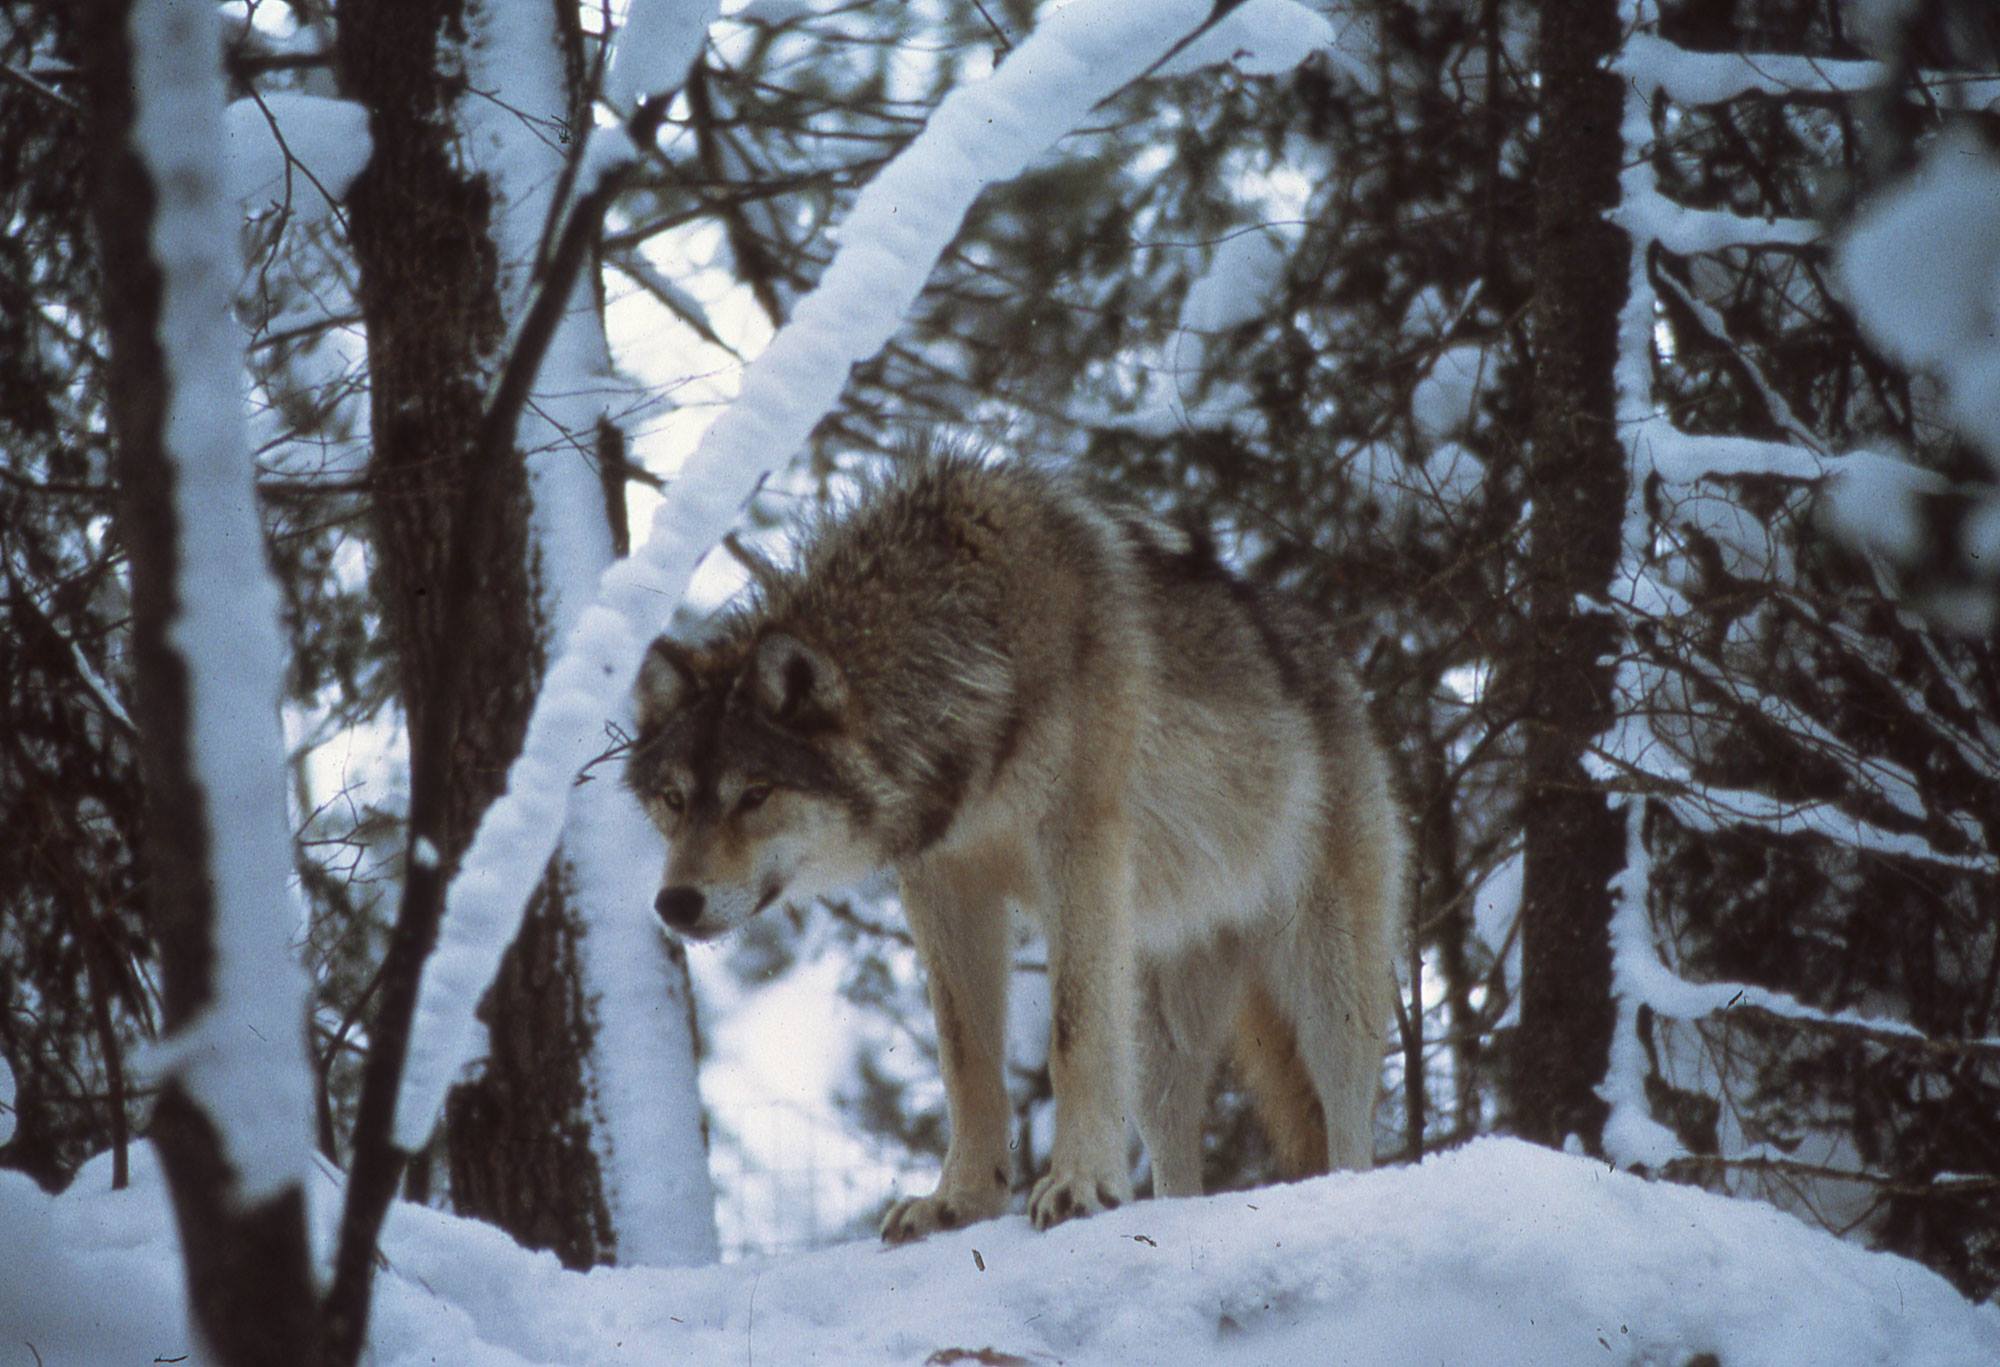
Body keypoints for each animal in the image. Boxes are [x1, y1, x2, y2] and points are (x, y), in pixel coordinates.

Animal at [624, 449, 1406, 1241]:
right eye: (674, 800)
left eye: (755, 794)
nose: (675, 902)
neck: (970, 657)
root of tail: (1341, 671)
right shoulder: (942, 880)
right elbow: (965, 1058)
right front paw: (962, 1200)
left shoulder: (1078, 848)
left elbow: (1071, 1036)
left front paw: (1079, 1184)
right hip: (1160, 1026)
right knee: (1173, 1134)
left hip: (1328, 983)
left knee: (1347, 1112)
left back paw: (1340, 1185)